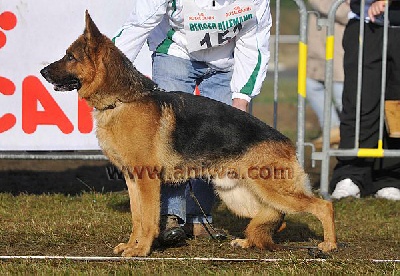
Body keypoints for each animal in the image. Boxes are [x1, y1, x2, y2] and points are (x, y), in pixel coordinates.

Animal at [40, 10, 336, 256]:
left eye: (70, 57)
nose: (42, 71)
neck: (123, 100)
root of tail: (287, 142)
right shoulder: (133, 180)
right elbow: (137, 218)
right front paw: (131, 245)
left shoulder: (147, 180)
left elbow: (148, 219)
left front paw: (141, 250)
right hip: (238, 195)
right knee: (273, 217)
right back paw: (249, 241)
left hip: (274, 190)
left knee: (322, 206)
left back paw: (328, 245)